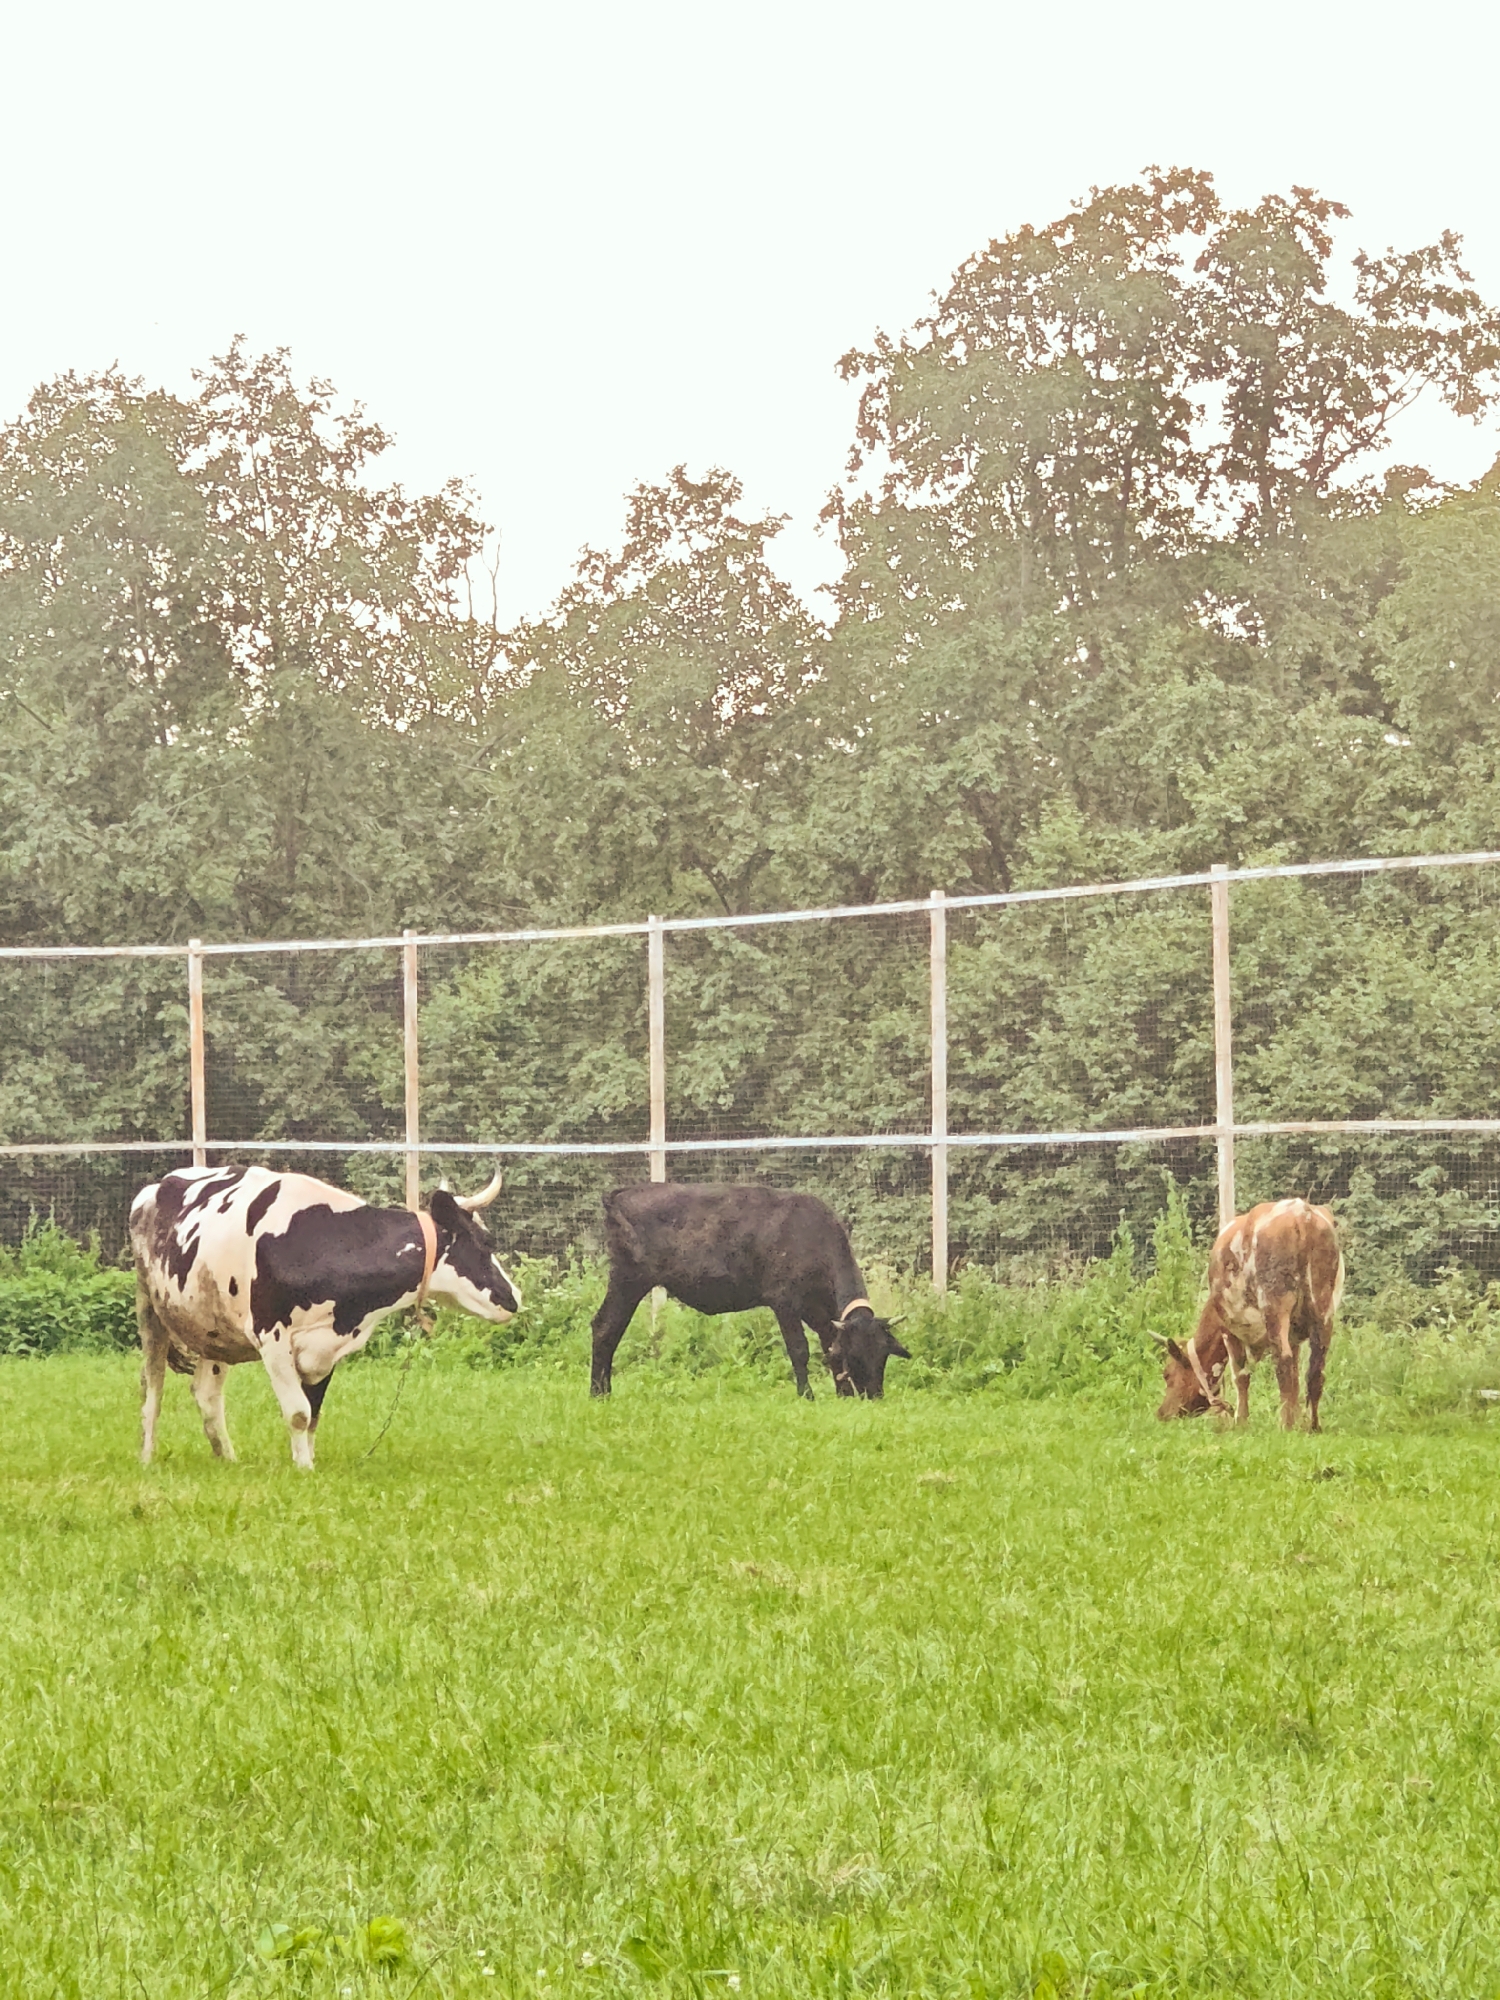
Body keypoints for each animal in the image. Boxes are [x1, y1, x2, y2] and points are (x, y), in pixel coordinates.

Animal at [130, 1162, 521, 1468]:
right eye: (486, 1242)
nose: (514, 1298)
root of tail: (154, 1188)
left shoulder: (325, 1346)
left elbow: (313, 1414)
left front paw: (308, 1461)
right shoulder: (271, 1338)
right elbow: (298, 1413)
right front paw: (303, 1470)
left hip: (214, 1331)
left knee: (207, 1394)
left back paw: (227, 1459)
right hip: (149, 1310)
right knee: (152, 1390)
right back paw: (148, 1458)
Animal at [590, 1182, 910, 1399]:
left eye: (883, 1355)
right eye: (856, 1356)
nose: (873, 1396)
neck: (812, 1237)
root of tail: (623, 1192)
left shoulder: (818, 1311)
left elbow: (830, 1347)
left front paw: (842, 1394)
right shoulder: (784, 1301)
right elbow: (799, 1350)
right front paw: (807, 1395)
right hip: (628, 1279)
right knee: (605, 1328)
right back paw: (598, 1393)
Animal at [1155, 1197, 1344, 1430]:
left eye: (1167, 1374)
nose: (1161, 1413)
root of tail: (1301, 1213)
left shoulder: (1229, 1329)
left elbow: (1240, 1375)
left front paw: (1241, 1422)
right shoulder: (1294, 1336)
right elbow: (1296, 1378)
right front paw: (1298, 1419)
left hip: (1274, 1305)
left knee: (1283, 1361)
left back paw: (1284, 1426)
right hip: (1324, 1308)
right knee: (1315, 1368)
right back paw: (1313, 1425)